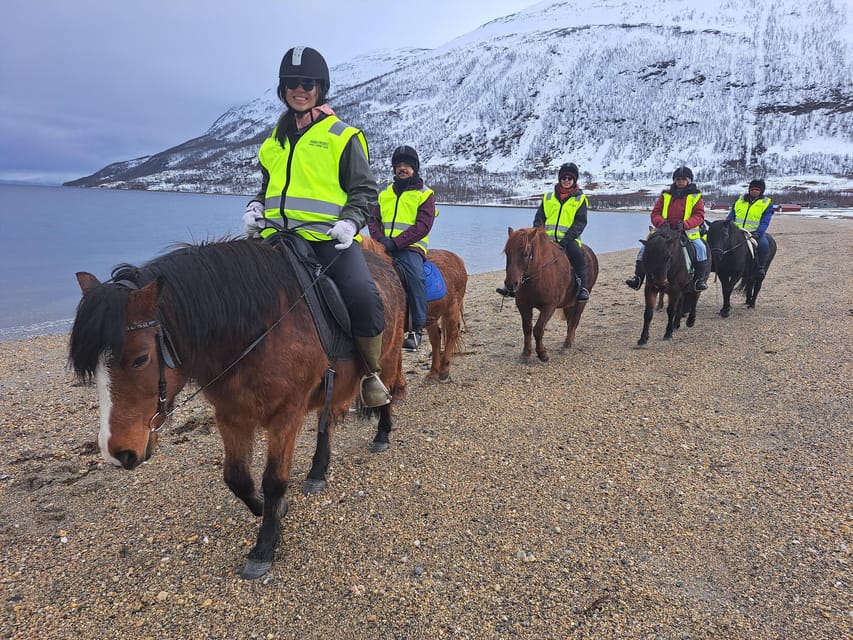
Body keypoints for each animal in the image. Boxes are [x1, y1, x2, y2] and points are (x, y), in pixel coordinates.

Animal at [66, 236, 406, 580]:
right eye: (95, 368)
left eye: (140, 358)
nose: (117, 452)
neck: (257, 331)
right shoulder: (231, 415)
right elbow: (236, 478)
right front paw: (270, 510)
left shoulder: (286, 414)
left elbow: (273, 480)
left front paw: (265, 545)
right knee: (328, 423)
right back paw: (317, 471)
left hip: (389, 355)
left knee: (388, 391)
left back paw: (382, 434)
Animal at [420, 249, 466, 380]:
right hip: (431, 317)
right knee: (436, 338)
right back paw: (434, 371)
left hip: (452, 307)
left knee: (452, 333)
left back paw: (444, 369)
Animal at [500, 228, 600, 362]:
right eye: (507, 252)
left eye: (525, 254)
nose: (511, 284)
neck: (538, 276)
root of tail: (590, 253)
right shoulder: (523, 306)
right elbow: (527, 328)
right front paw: (526, 354)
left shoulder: (549, 307)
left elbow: (538, 329)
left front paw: (542, 353)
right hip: (569, 303)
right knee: (570, 321)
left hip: (581, 301)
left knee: (575, 320)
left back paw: (567, 345)